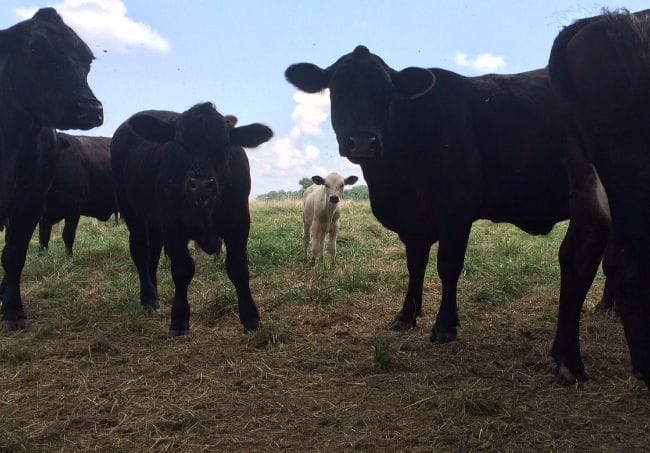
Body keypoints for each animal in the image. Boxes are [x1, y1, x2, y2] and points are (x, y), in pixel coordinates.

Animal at [0, 8, 103, 331]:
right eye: (36, 48)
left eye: (87, 59)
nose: (91, 108)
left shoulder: (30, 205)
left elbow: (14, 256)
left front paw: (13, 312)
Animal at [111, 102, 273, 336]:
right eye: (180, 144)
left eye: (224, 144)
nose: (202, 185)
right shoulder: (173, 226)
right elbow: (182, 269)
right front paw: (178, 319)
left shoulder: (240, 223)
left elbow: (238, 268)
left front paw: (251, 318)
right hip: (131, 211)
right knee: (139, 250)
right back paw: (149, 298)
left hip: (154, 223)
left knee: (152, 253)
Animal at [285, 45, 611, 382]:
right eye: (337, 89)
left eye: (386, 91)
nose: (363, 140)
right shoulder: (414, 222)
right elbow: (415, 266)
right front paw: (406, 315)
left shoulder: (456, 212)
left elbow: (448, 266)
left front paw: (444, 325)